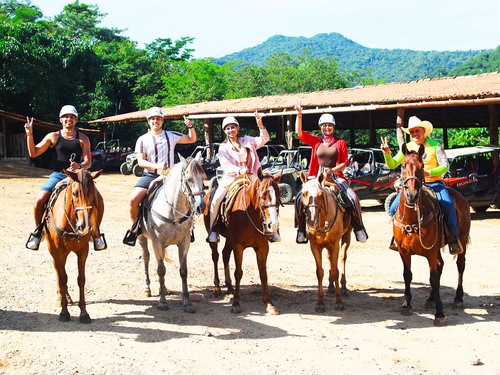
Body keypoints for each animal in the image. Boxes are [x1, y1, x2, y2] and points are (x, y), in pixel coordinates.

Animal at [45, 168, 103, 324]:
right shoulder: (57, 251)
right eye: (75, 193)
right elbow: (63, 278)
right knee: (58, 273)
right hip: (54, 251)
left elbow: (81, 279)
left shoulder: (83, 250)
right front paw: (64, 312)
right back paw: (61, 298)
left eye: (93, 194)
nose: (85, 226)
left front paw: (84, 313)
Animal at [138, 156, 206, 314]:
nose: (201, 207)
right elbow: (161, 270)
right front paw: (162, 302)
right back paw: (147, 288)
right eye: (189, 179)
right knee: (146, 258)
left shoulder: (184, 242)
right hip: (142, 237)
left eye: (203, 177)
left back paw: (164, 289)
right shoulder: (156, 241)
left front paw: (187, 303)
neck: (173, 211)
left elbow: (183, 271)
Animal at [203, 170, 282, 314]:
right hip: (214, 238)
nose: (273, 225)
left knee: (225, 255)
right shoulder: (238, 246)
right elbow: (238, 273)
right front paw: (236, 303)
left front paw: (269, 303)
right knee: (215, 256)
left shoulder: (263, 247)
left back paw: (229, 288)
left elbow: (263, 273)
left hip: (230, 239)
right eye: (262, 195)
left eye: (279, 196)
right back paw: (217, 288)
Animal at [298, 172, 354, 312]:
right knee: (329, 259)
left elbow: (335, 271)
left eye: (320, 195)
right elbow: (320, 272)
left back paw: (343, 288)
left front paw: (339, 302)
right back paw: (330, 287)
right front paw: (320, 303)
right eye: (304, 194)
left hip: (347, 236)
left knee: (343, 258)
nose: (313, 220)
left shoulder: (334, 244)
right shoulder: (315, 246)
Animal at [392, 144, 470, 326]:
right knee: (441, 265)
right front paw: (407, 305)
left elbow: (433, 278)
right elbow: (407, 276)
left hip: (462, 241)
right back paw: (431, 299)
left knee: (460, 265)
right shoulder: (404, 252)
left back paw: (458, 298)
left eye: (421, 167)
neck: (412, 220)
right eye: (403, 165)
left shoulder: (430, 251)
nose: (412, 195)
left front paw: (439, 313)